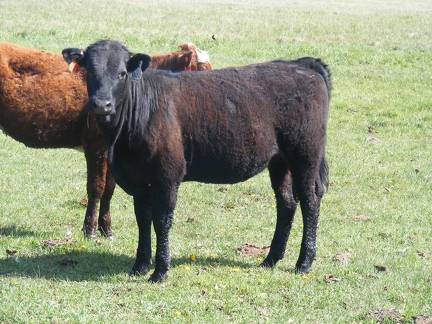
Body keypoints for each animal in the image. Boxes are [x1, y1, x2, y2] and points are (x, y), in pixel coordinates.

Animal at [0, 42, 213, 238]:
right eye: (202, 68)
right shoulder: (96, 147)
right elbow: (96, 187)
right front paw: (90, 230)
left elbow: (109, 189)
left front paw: (106, 229)